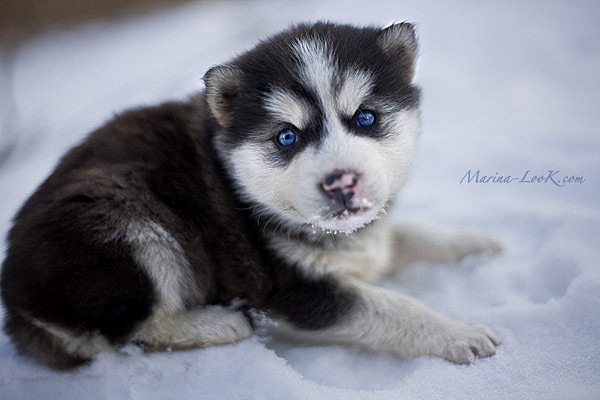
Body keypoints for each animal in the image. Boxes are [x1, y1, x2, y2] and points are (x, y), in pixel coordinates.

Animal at [0, 22, 501, 370]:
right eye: (287, 136)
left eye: (365, 118)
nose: (341, 182)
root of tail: (16, 303)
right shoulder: (287, 290)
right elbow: (389, 307)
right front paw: (457, 333)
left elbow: (407, 235)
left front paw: (473, 243)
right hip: (127, 223)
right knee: (129, 331)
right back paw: (215, 323)